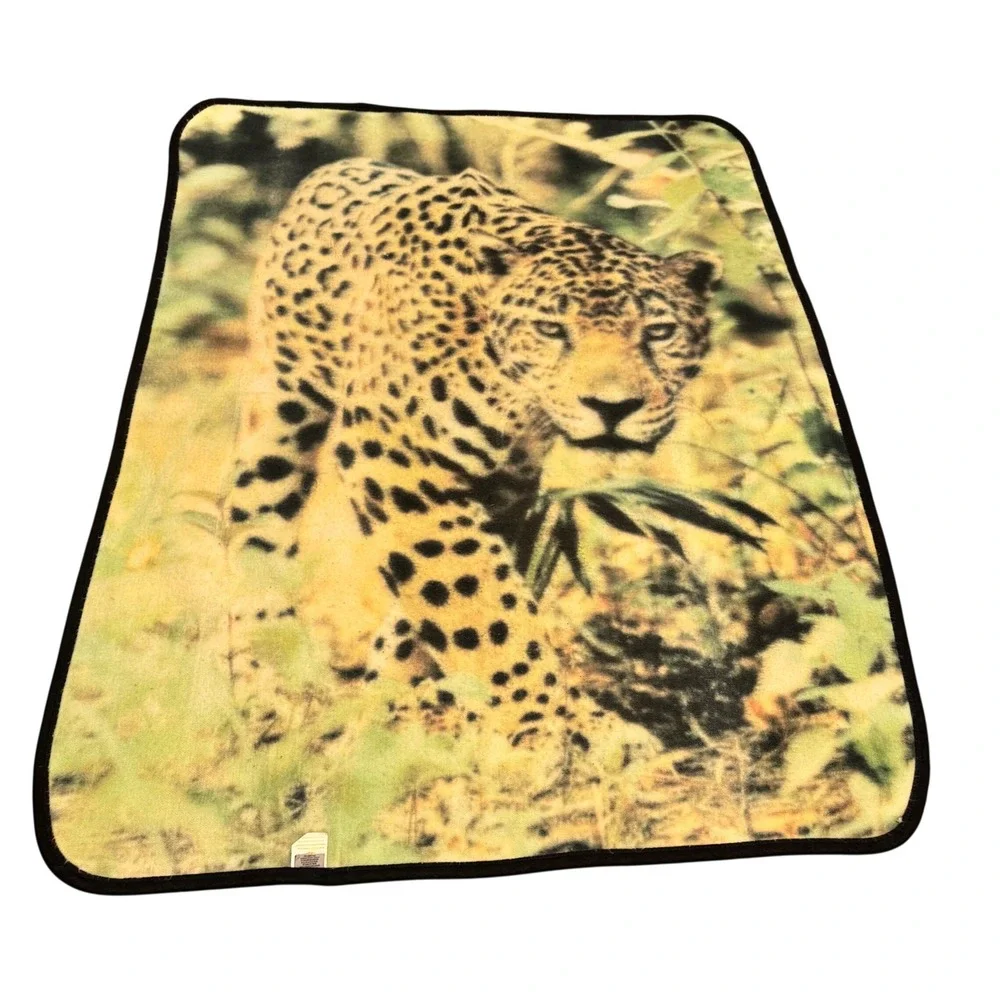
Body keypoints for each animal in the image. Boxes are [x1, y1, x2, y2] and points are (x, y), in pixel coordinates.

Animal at [226, 156, 720, 751]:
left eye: (660, 332)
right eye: (551, 330)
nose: (613, 406)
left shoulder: (506, 483)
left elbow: (453, 594)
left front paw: (396, 694)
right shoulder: (393, 458)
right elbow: (481, 607)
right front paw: (555, 726)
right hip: (279, 411)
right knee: (253, 528)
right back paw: (265, 675)